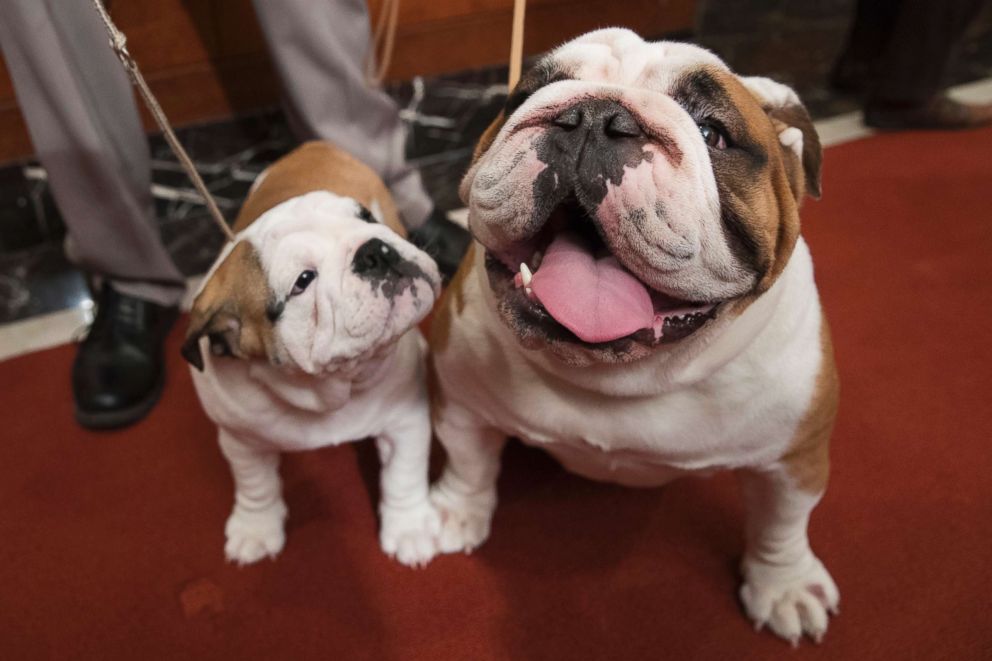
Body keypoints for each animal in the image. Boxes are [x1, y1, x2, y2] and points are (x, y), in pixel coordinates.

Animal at [184, 142, 440, 564]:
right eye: (304, 281)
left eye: (366, 217)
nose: (375, 249)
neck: (327, 386)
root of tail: (313, 146)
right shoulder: (240, 440)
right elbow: (255, 484)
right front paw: (256, 527)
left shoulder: (406, 420)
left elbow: (404, 472)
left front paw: (410, 526)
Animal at [430, 28, 840, 640]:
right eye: (527, 94)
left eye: (713, 133)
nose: (595, 116)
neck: (620, 377)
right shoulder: (461, 401)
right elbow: (469, 463)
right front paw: (455, 511)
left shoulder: (796, 456)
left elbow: (782, 525)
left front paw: (784, 585)